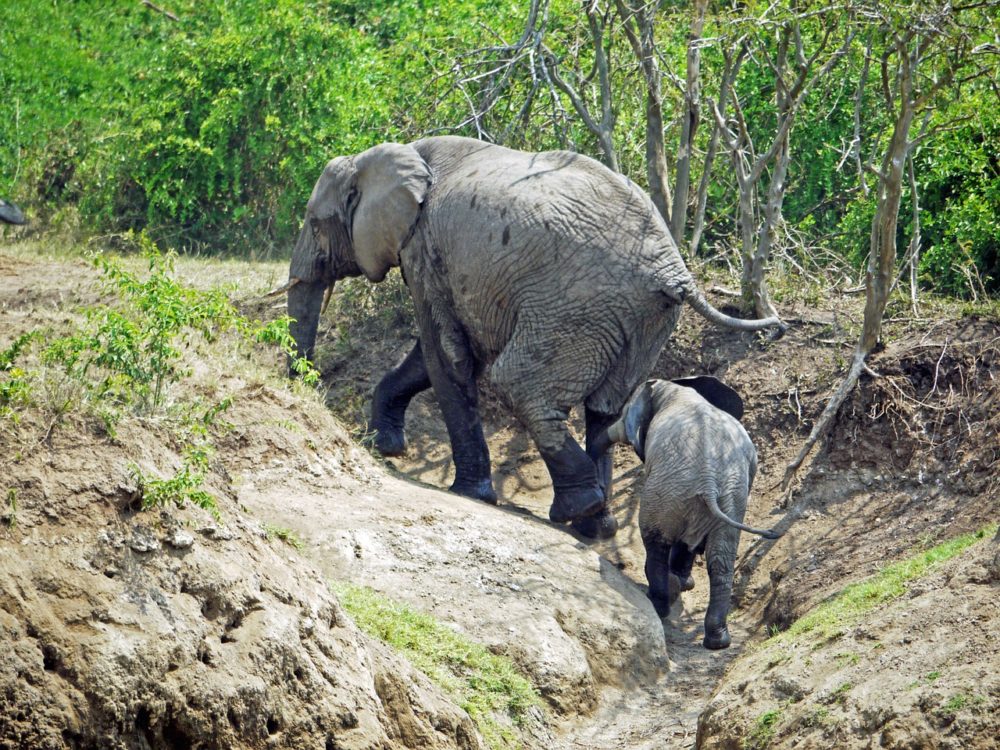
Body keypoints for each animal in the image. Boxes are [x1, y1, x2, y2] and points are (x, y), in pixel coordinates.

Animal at [272, 138, 780, 540]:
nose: (306, 387)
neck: (391, 155)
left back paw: (577, 510)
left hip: (576, 305)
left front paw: (468, 492)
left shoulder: (424, 247)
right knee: (605, 407)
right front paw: (386, 445)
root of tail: (675, 272)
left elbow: (447, 356)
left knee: (520, 385)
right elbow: (439, 354)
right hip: (640, 319)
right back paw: (596, 526)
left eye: (315, 223)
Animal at [592, 378, 780, 648]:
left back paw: (659, 605)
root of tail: (709, 480)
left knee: (656, 542)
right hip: (727, 497)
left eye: (624, 413)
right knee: (720, 559)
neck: (675, 389)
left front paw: (680, 585)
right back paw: (718, 641)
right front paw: (686, 584)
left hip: (669, 489)